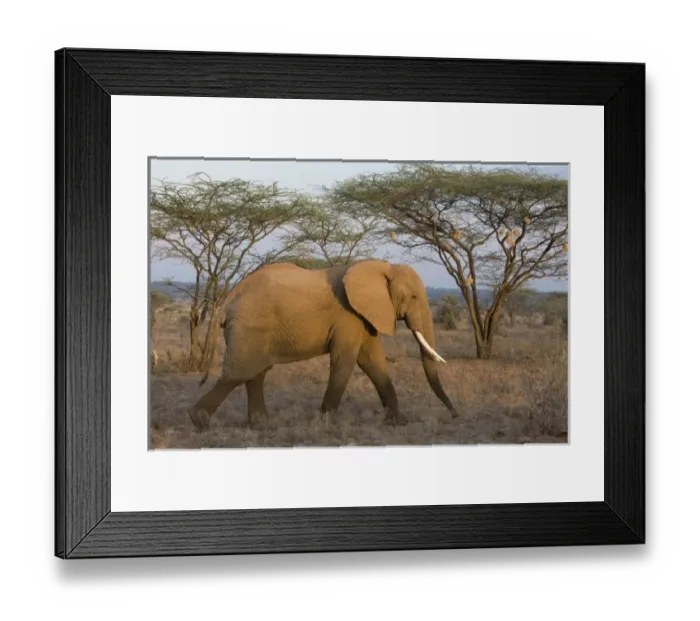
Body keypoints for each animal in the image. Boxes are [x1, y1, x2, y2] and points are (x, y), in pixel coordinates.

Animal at [189, 259, 458, 430]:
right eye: (413, 296)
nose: (456, 415)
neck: (380, 266)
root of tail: (229, 298)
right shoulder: (348, 315)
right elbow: (344, 361)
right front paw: (325, 423)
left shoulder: (363, 316)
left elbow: (373, 362)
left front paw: (397, 423)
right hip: (250, 326)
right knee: (238, 374)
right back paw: (199, 422)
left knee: (256, 373)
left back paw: (260, 426)